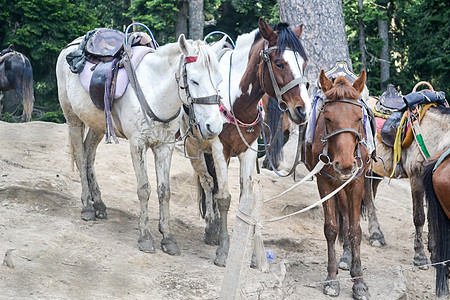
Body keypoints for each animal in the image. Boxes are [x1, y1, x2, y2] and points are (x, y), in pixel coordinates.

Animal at [56, 35, 225, 255]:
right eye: (195, 80)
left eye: (220, 80)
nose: (214, 126)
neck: (155, 92)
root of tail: (71, 45)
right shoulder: (137, 144)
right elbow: (144, 189)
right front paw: (145, 236)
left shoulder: (165, 147)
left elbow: (164, 191)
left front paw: (167, 238)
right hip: (73, 119)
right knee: (81, 156)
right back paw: (87, 206)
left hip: (98, 124)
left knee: (89, 155)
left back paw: (99, 204)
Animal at [183, 18, 310, 266]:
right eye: (279, 63)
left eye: (304, 63)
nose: (303, 110)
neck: (236, 102)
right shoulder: (219, 149)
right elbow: (223, 198)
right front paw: (224, 251)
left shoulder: (248, 151)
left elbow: (245, 198)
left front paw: (248, 252)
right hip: (197, 149)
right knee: (208, 183)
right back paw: (211, 228)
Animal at [304, 69, 370, 298]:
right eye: (328, 118)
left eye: (359, 118)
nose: (346, 164)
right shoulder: (324, 182)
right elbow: (331, 228)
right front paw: (332, 279)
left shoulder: (356, 181)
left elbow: (355, 230)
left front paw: (359, 282)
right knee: (343, 212)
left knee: (349, 216)